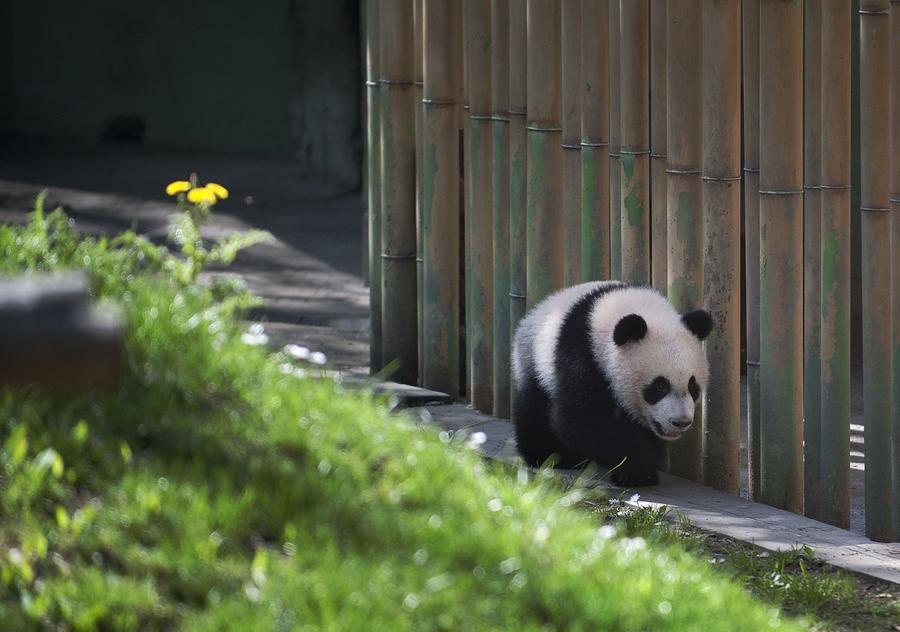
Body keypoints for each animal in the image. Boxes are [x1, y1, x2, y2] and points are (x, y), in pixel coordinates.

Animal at [511, 281, 713, 487]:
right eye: (660, 386)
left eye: (692, 386)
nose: (681, 422)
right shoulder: (581, 354)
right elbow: (583, 418)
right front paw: (637, 471)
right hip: (534, 361)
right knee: (534, 409)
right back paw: (553, 457)